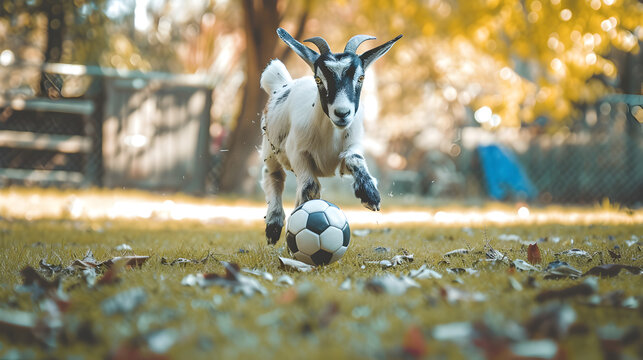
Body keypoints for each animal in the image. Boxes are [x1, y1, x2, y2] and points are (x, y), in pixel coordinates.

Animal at [258, 26, 400, 243]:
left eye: (361, 78)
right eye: (318, 79)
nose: (342, 113)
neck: (329, 133)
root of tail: (281, 84)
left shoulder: (349, 149)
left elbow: (354, 158)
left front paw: (370, 195)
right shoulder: (298, 153)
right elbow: (310, 187)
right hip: (270, 150)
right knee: (273, 177)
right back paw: (273, 225)